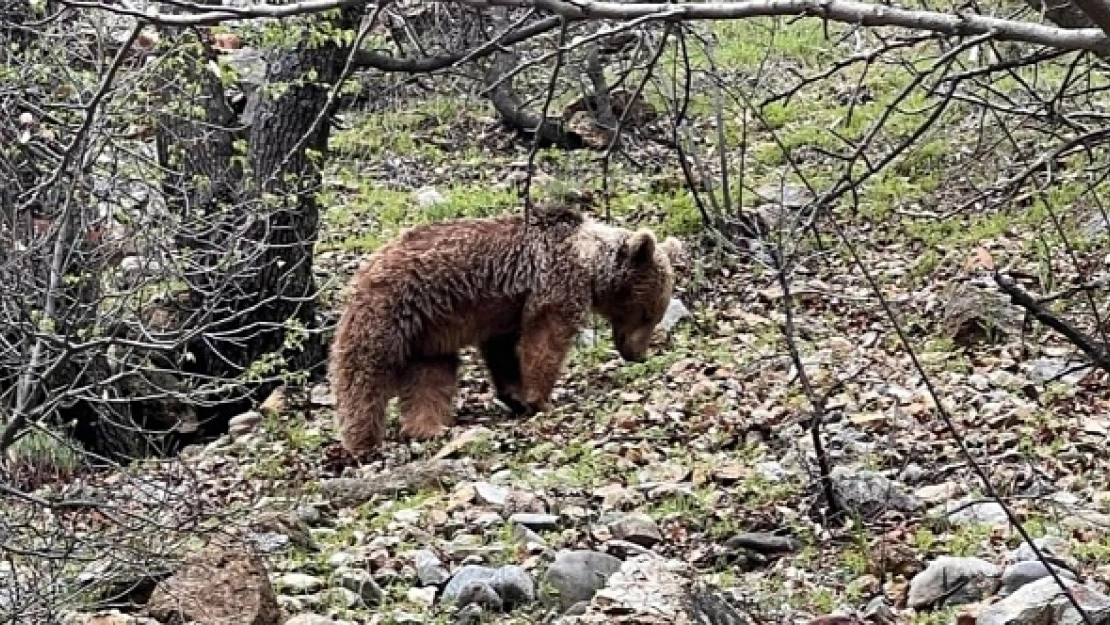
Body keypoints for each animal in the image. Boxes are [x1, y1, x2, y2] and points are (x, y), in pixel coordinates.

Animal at [326, 204, 683, 455]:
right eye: (648, 314)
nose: (638, 354)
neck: (591, 264)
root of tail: (365, 268)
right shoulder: (556, 285)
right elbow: (544, 340)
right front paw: (541, 399)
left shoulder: (505, 312)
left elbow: (503, 353)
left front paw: (516, 395)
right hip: (392, 311)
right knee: (364, 373)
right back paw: (362, 439)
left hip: (427, 335)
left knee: (431, 377)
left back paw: (428, 427)